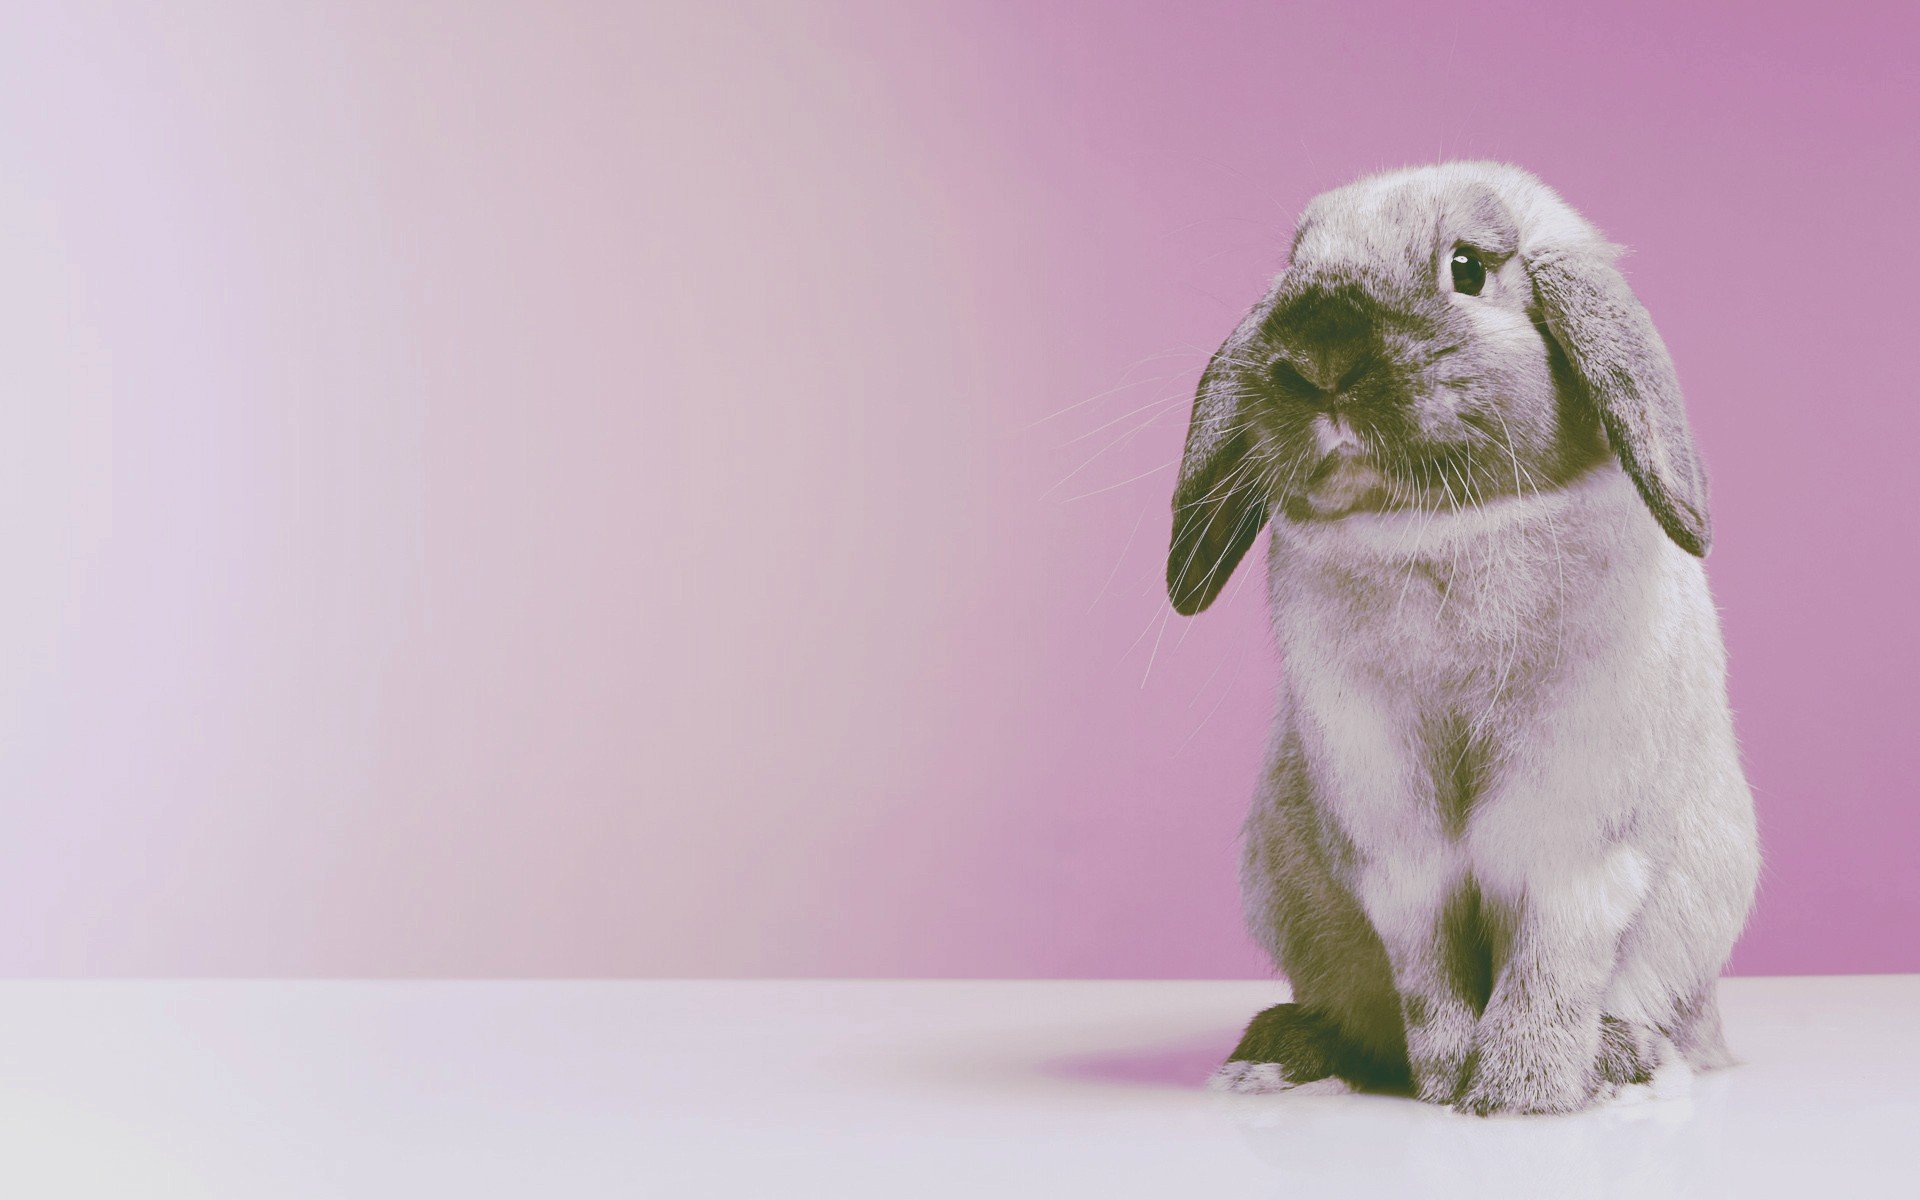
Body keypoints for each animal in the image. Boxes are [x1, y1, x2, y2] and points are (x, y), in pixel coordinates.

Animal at [1168, 162, 1758, 1115]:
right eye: (1296, 264)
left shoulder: (1573, 831)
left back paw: (1622, 1060)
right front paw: (1447, 1082)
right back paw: (1277, 1055)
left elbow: (1551, 956)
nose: (1319, 356)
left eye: (1469, 268)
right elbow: (1429, 962)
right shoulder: (1393, 841)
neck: (1438, 531)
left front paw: (1522, 1094)